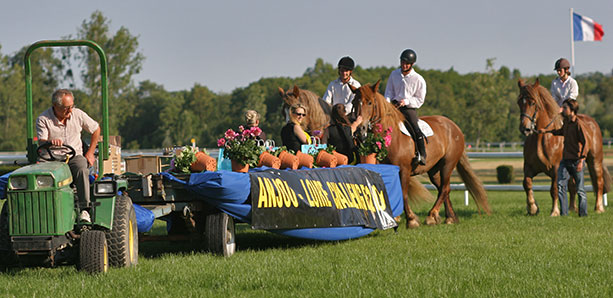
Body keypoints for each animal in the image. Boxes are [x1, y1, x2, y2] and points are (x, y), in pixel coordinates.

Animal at [352, 80, 490, 227]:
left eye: (369, 102)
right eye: (354, 102)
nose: (360, 129)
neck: (391, 137)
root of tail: (454, 127)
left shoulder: (404, 170)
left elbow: (403, 194)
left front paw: (411, 220)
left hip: (448, 164)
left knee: (444, 189)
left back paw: (432, 215)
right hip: (434, 170)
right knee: (444, 188)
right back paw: (449, 217)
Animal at [516, 78, 608, 214]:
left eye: (533, 103)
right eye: (519, 102)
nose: (524, 128)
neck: (544, 138)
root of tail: (593, 122)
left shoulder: (556, 169)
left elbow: (554, 189)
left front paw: (555, 211)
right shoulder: (528, 167)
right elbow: (526, 184)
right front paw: (533, 208)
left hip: (595, 160)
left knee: (599, 181)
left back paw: (599, 208)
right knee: (573, 185)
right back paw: (572, 208)